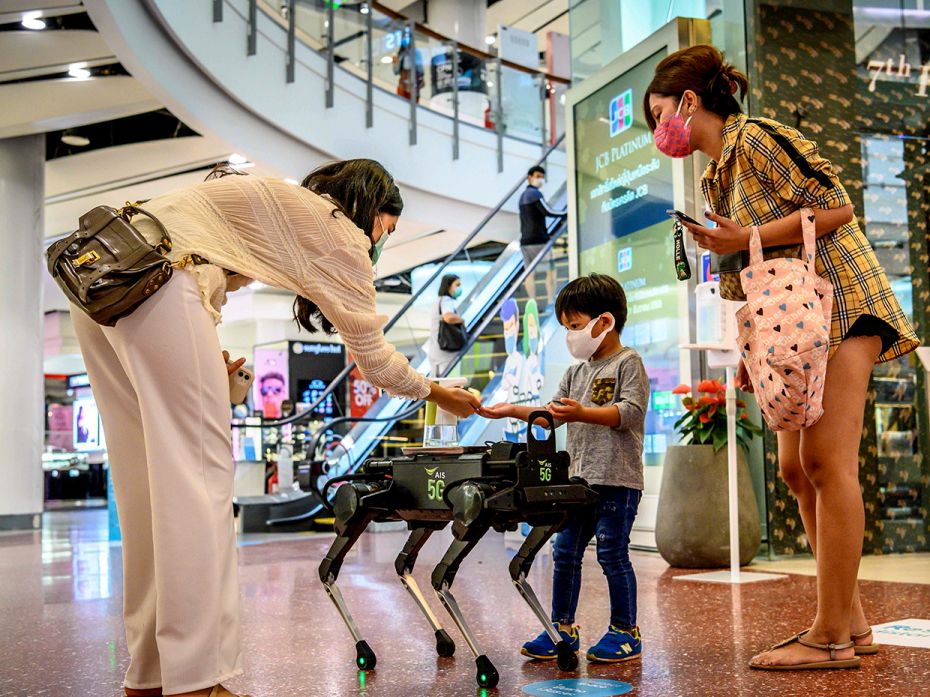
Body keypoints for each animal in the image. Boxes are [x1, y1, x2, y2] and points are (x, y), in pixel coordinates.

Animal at [316, 410, 600, 688]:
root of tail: (376, 467)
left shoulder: (553, 515)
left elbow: (516, 567)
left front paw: (564, 651)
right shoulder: (470, 512)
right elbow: (440, 577)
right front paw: (485, 668)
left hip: (428, 520)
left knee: (402, 563)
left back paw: (441, 638)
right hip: (358, 509)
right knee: (328, 567)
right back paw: (364, 651)